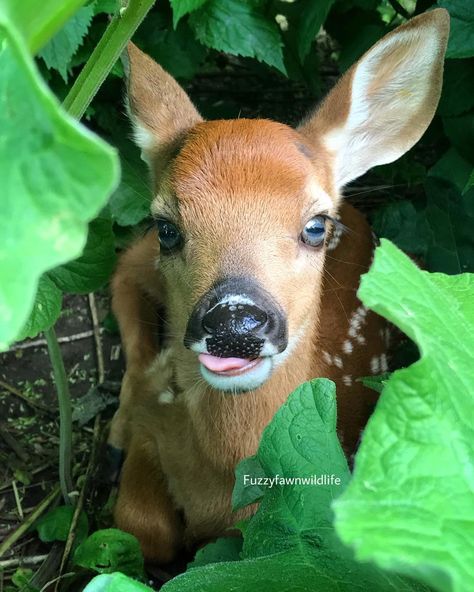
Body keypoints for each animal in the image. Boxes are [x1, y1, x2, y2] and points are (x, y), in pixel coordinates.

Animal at [109, 10, 450, 564]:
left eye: (316, 226)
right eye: (167, 227)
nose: (234, 322)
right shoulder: (155, 419)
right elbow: (141, 530)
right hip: (139, 262)